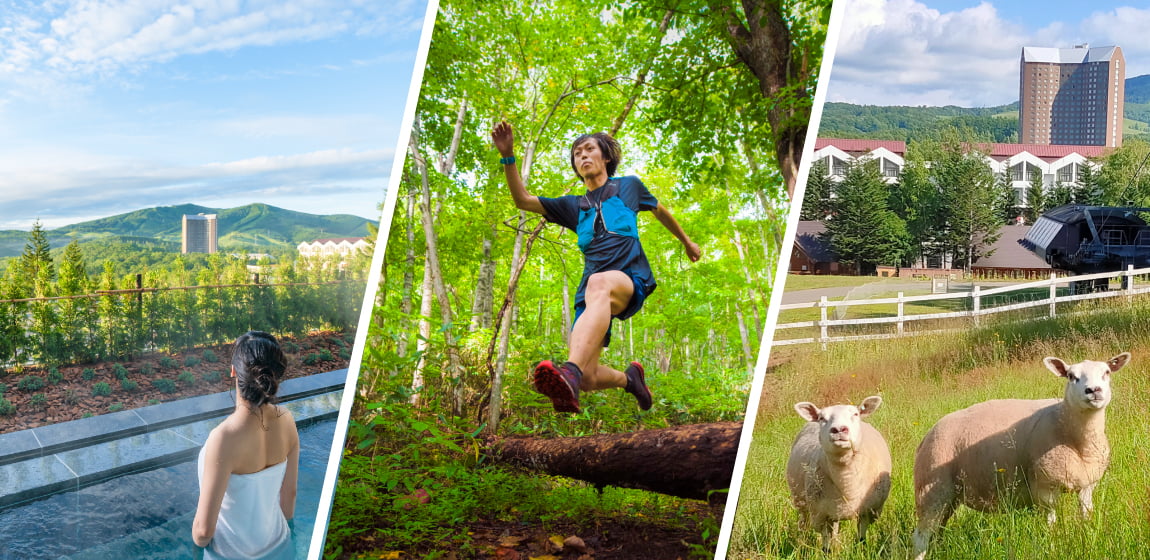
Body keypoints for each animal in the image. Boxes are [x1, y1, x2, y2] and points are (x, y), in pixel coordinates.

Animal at [786, 395, 892, 551]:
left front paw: (860, 549)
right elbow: (825, 545)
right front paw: (827, 551)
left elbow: (861, 538)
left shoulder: (868, 511)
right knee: (804, 522)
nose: (839, 429)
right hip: (802, 502)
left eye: (855, 414)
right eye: (821, 418)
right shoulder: (821, 514)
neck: (847, 481)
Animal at [915, 351, 1131, 558]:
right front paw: (1052, 549)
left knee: (937, 531)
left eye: (1107, 372)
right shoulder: (1044, 488)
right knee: (920, 537)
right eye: (1071, 376)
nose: (1093, 390)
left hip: (949, 496)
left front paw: (1086, 539)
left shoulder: (1087, 485)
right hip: (932, 489)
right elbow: (1050, 526)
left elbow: (1085, 518)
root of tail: (926, 436)